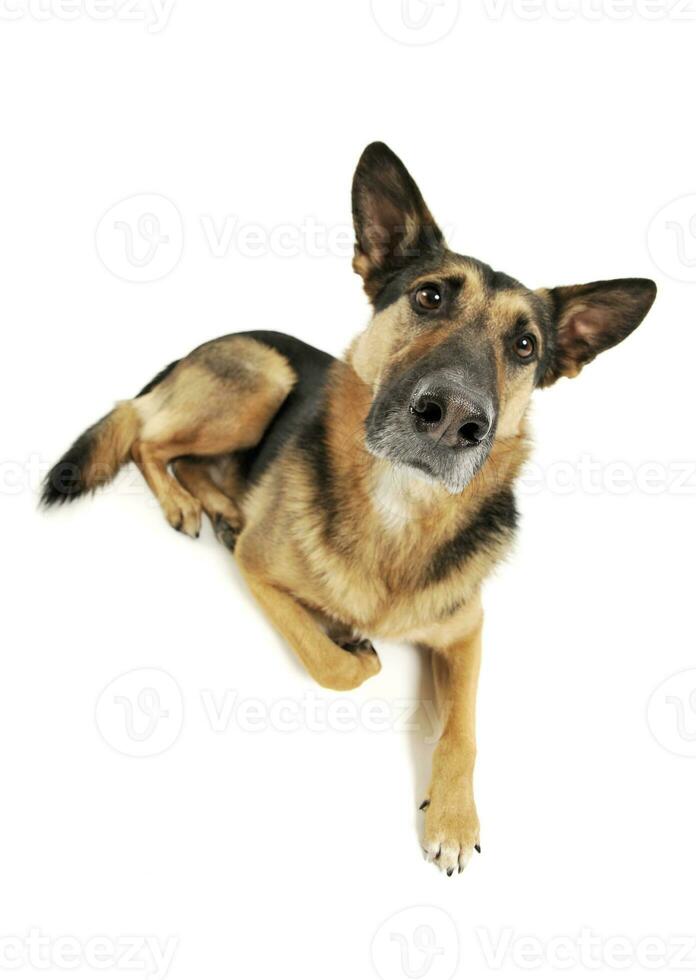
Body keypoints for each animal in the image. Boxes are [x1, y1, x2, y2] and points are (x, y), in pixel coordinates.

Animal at [42, 144, 656, 872]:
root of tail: (200, 346)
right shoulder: (256, 570)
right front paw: (349, 642)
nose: (455, 418)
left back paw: (220, 505)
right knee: (144, 433)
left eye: (526, 345)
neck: (400, 504)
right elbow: (333, 667)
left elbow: (465, 729)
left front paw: (454, 817)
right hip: (264, 380)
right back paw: (185, 505)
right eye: (430, 296)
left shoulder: (467, 632)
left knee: (176, 450)